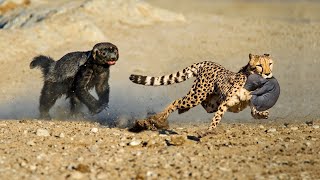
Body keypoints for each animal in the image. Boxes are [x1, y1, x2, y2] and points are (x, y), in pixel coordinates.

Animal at [129, 52, 274, 133]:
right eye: (259, 65)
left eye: (270, 64)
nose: (268, 73)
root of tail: (207, 62)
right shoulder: (224, 104)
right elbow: (216, 118)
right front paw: (210, 130)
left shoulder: (246, 101)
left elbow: (254, 111)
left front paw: (262, 114)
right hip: (197, 95)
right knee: (177, 101)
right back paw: (159, 118)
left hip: (210, 103)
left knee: (197, 105)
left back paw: (179, 111)